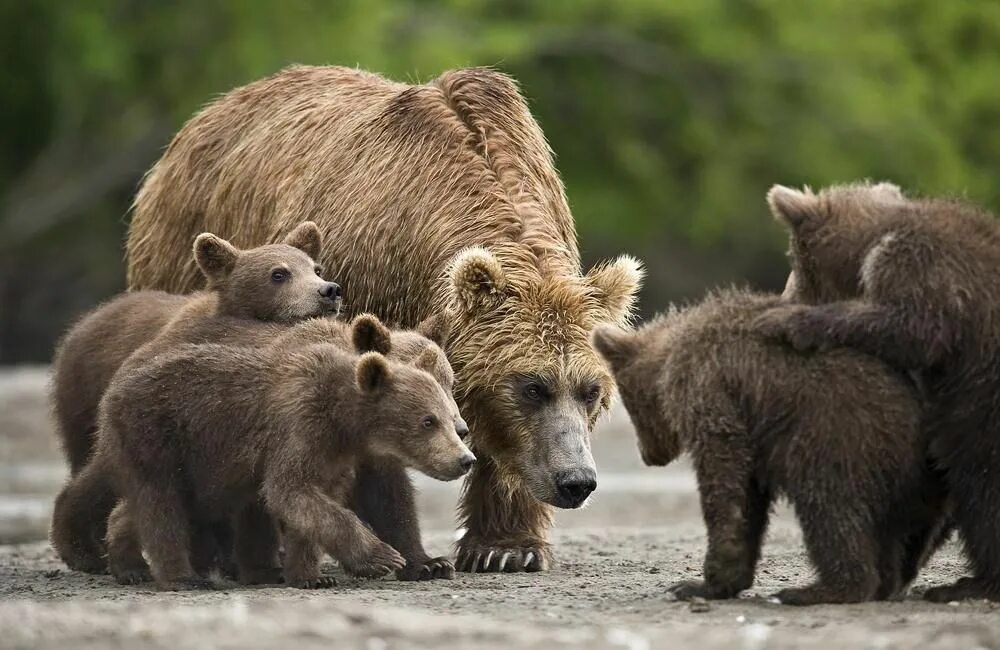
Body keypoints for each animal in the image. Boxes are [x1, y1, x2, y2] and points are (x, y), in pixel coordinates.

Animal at [48, 224, 340, 572]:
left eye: (316, 268)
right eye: (279, 273)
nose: (328, 291)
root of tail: (80, 325)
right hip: (87, 397)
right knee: (95, 466)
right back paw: (83, 549)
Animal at [588, 288, 948, 604]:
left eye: (628, 403)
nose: (648, 456)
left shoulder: (711, 388)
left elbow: (724, 477)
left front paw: (698, 583)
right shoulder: (754, 434)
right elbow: (750, 497)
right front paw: (726, 580)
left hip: (842, 438)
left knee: (829, 507)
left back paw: (819, 590)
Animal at [756, 180, 1000, 600]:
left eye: (795, 265)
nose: (783, 295)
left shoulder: (923, 267)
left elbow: (910, 325)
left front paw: (788, 322)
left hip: (986, 405)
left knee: (980, 481)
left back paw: (971, 583)